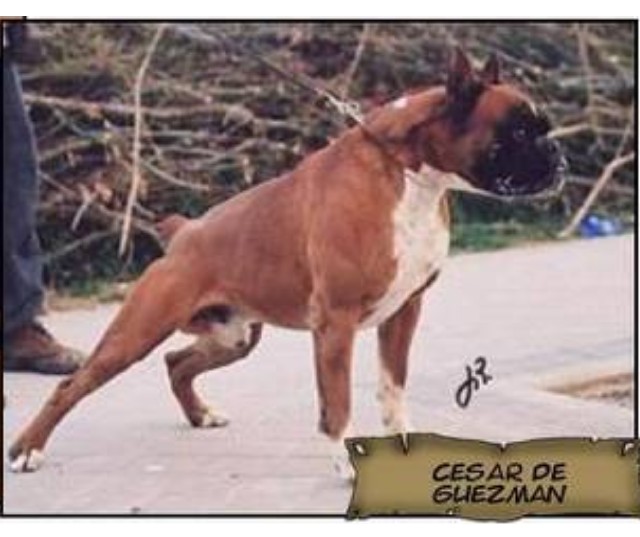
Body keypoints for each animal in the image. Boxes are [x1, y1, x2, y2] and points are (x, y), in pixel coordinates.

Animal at [8, 48, 564, 475]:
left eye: (539, 129)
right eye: (518, 133)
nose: (557, 156)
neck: (409, 175)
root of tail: (184, 233)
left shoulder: (404, 311)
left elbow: (392, 389)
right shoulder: (336, 322)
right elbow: (337, 404)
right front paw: (346, 464)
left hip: (234, 334)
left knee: (177, 363)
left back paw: (201, 415)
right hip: (137, 332)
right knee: (72, 386)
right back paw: (27, 450)